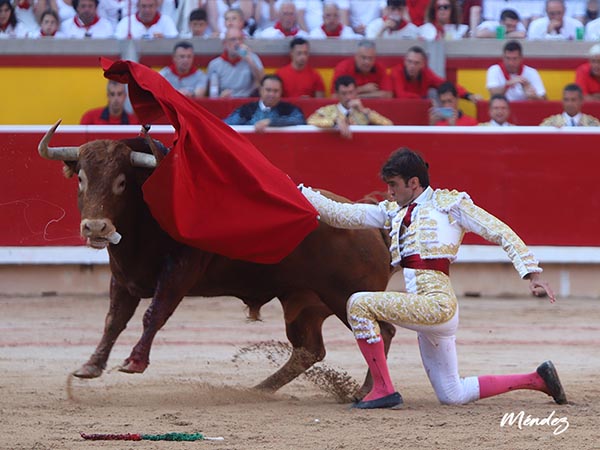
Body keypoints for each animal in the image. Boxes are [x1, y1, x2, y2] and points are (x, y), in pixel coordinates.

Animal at [37, 120, 394, 398]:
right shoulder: (123, 278)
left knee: (381, 332)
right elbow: (114, 320)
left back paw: (367, 391)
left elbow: (154, 314)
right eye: (81, 178)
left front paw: (134, 362)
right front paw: (90, 366)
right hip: (304, 301)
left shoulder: (178, 273)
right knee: (309, 349)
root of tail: (371, 222)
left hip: (345, 295)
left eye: (122, 182)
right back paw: (260, 389)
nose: (96, 227)